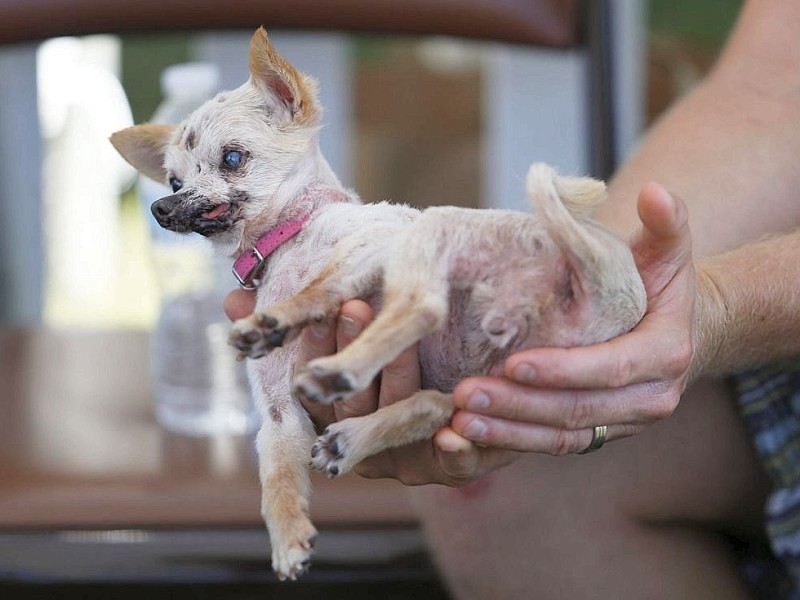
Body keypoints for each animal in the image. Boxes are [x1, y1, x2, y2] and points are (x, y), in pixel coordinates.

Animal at [112, 28, 648, 580]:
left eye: (233, 159)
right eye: (174, 182)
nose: (160, 207)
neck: (291, 236)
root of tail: (611, 283)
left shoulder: (375, 244)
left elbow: (320, 287)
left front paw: (279, 316)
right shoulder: (280, 416)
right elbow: (276, 480)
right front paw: (287, 538)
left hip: (433, 231)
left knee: (423, 308)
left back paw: (337, 370)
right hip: (489, 390)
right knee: (432, 403)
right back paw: (351, 437)